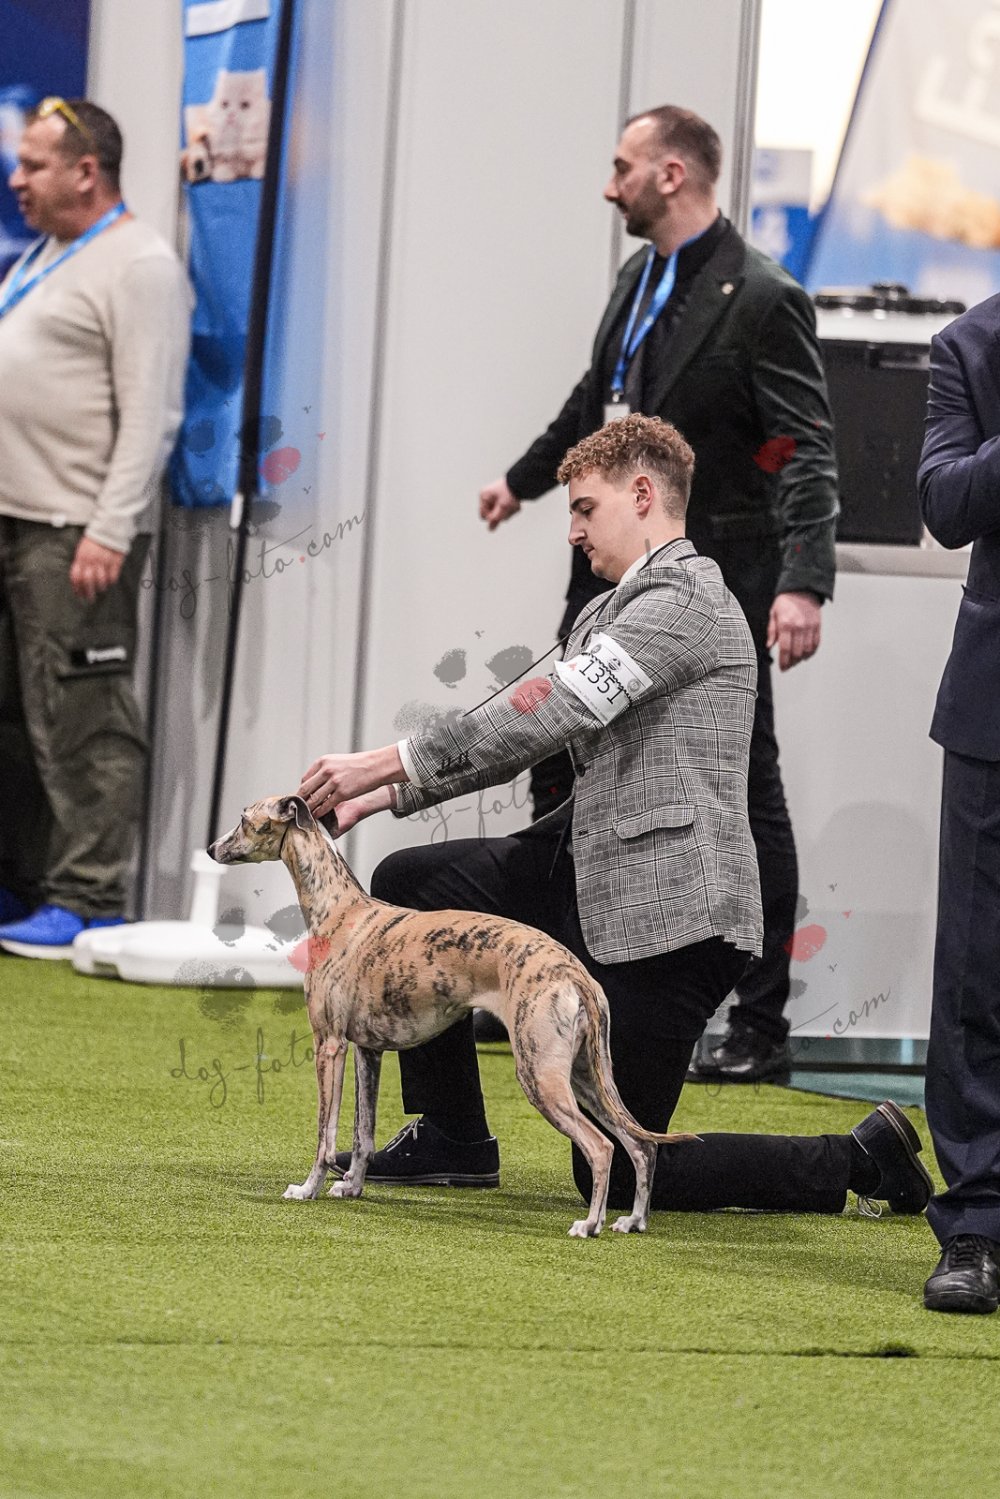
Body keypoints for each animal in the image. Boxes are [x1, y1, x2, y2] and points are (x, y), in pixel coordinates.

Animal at [208, 794, 697, 1237]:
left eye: (243, 819)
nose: (211, 848)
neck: (340, 911)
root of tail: (576, 973)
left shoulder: (328, 1045)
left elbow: (324, 1134)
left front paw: (308, 1188)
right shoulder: (367, 1051)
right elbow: (362, 1134)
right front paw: (351, 1187)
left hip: (539, 1073)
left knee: (601, 1147)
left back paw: (589, 1224)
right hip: (586, 1074)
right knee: (640, 1144)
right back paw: (633, 1220)